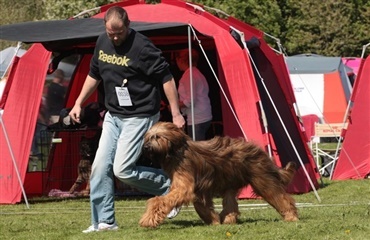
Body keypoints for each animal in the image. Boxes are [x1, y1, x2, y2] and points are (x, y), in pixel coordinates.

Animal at [139, 121, 298, 228]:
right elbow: (201, 206)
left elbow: (159, 201)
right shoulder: (199, 189)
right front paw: (214, 221)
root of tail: (259, 151)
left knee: (281, 198)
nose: (145, 147)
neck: (176, 151)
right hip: (230, 181)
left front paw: (148, 220)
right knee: (231, 203)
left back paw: (291, 216)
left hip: (262, 180)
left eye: (157, 137)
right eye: (147, 137)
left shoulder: (185, 186)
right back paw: (227, 219)